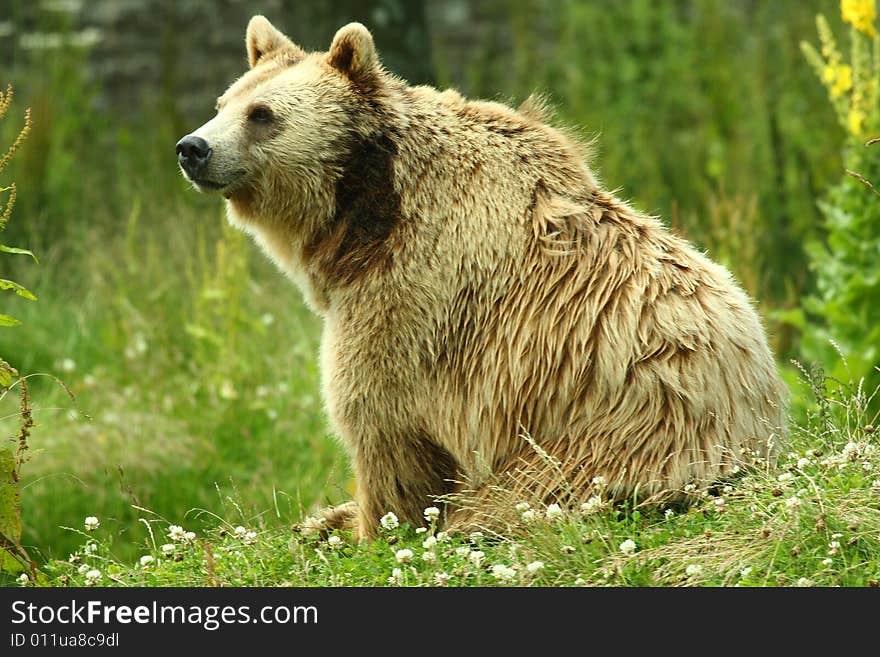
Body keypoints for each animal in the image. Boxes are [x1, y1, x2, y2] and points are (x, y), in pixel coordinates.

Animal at [179, 16, 792, 540]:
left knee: (518, 495)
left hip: (608, 436)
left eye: (262, 114)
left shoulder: (410, 299)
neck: (368, 216)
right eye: (224, 103)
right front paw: (329, 517)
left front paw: (370, 524)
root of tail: (759, 411)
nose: (192, 148)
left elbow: (380, 420)